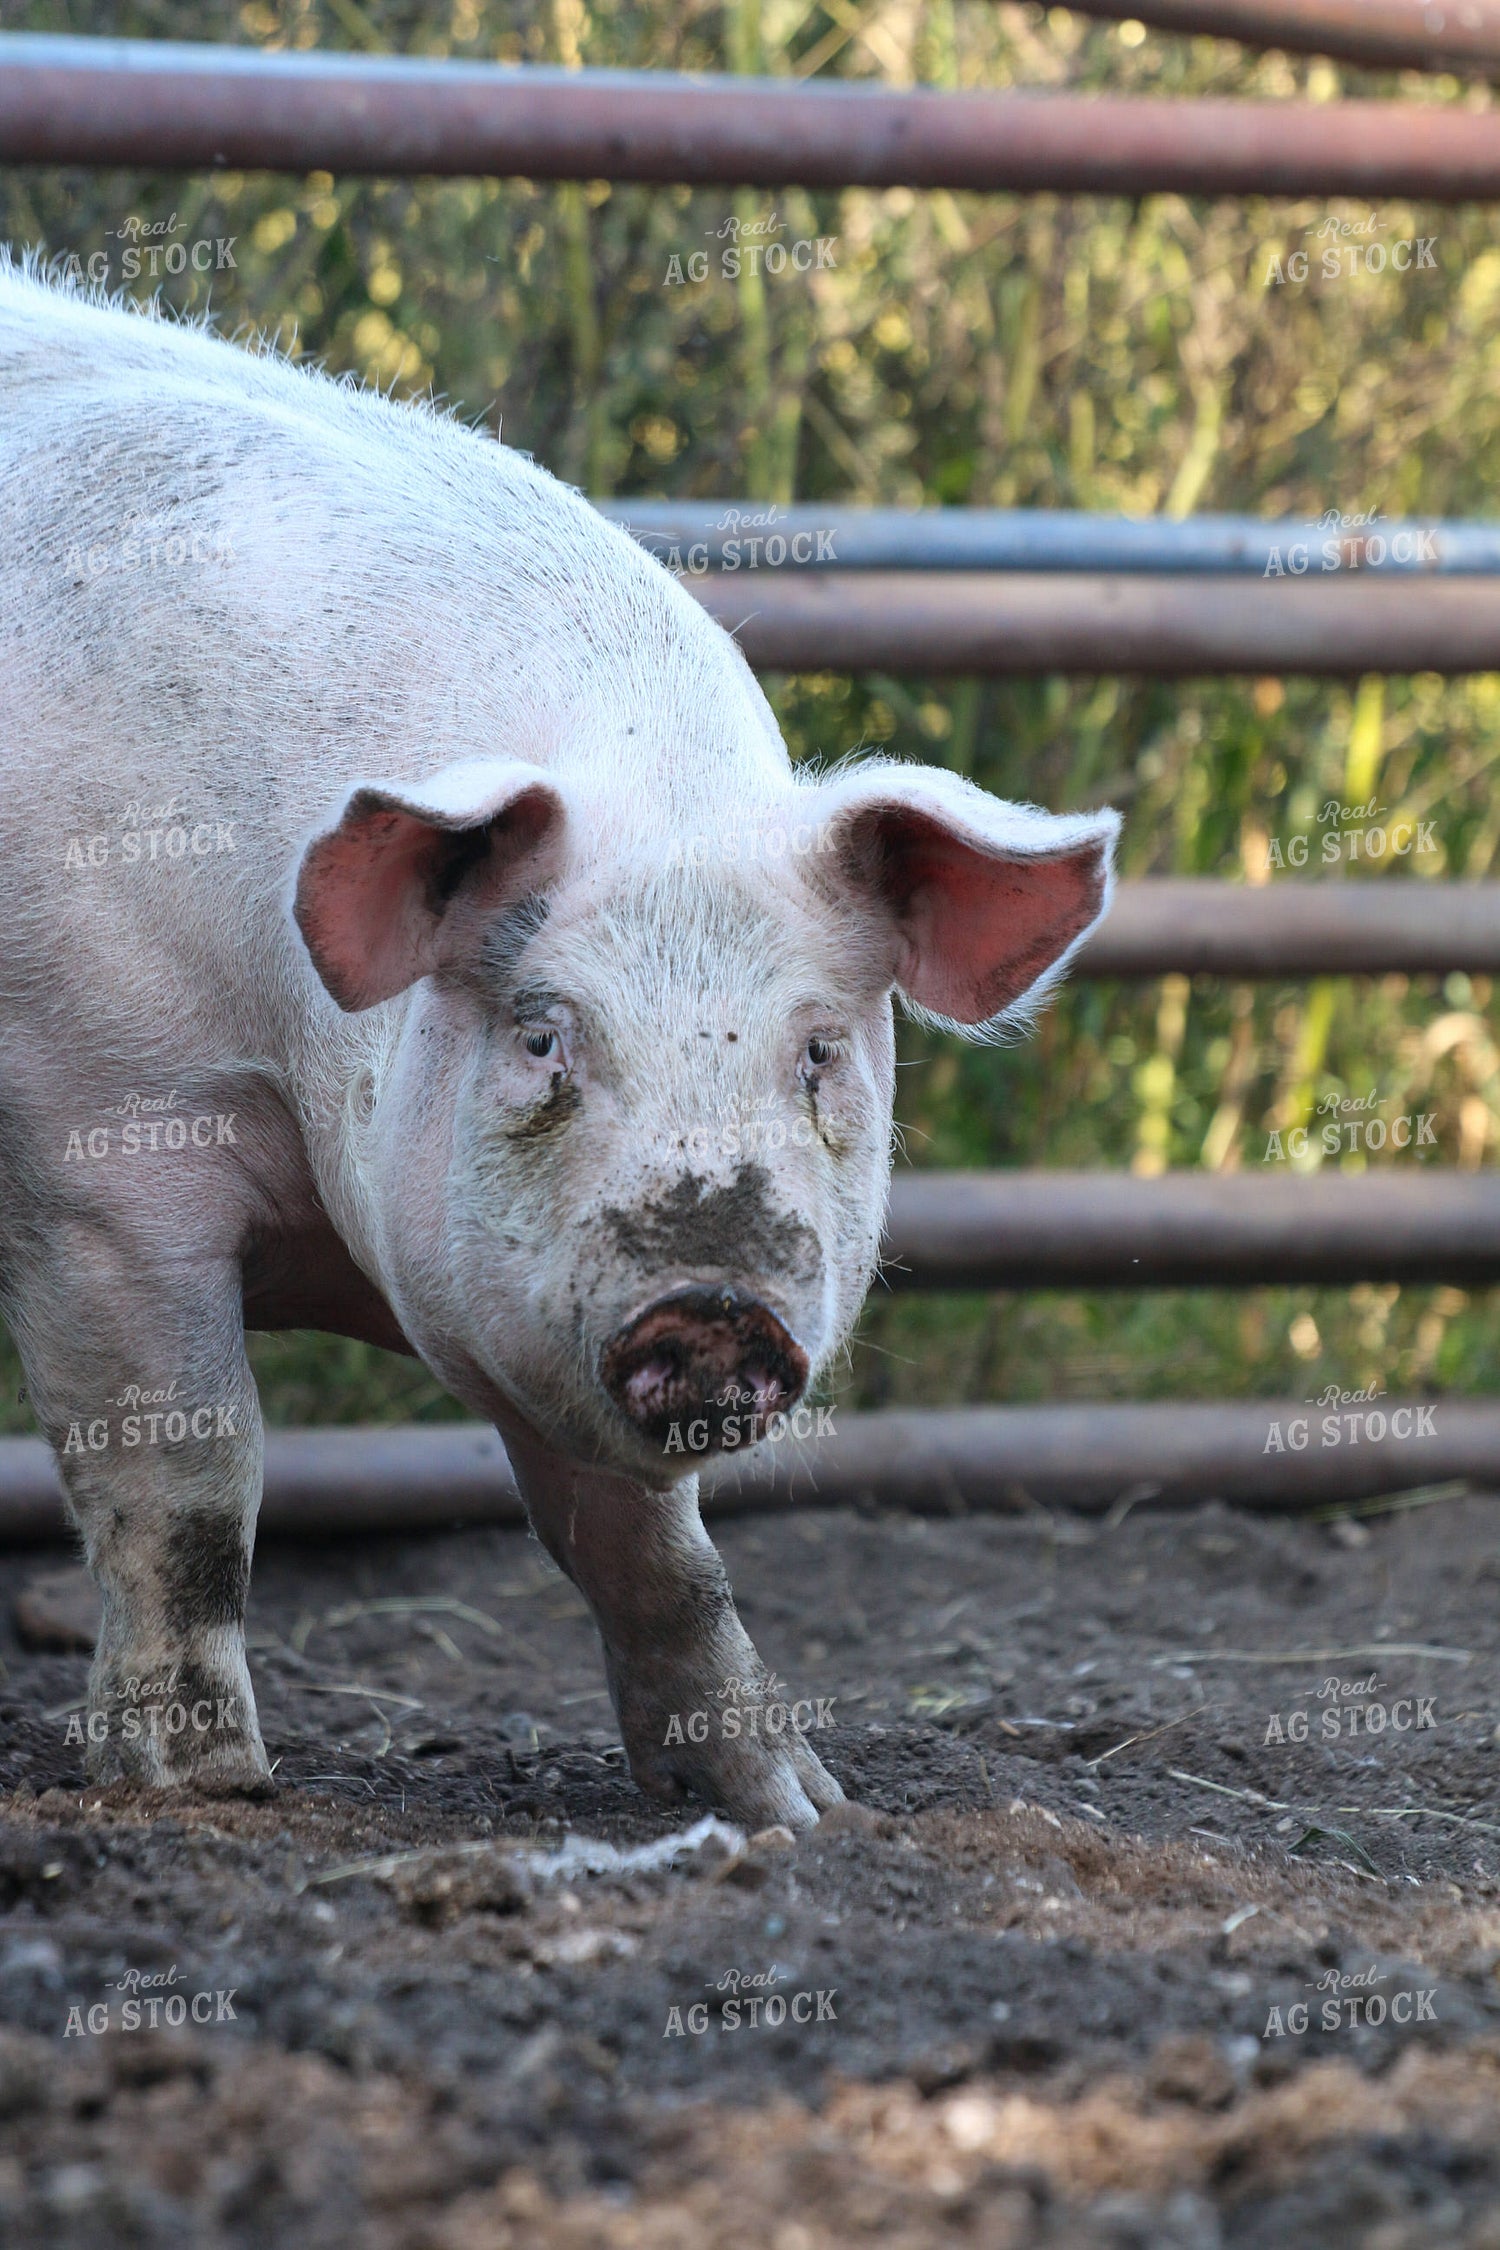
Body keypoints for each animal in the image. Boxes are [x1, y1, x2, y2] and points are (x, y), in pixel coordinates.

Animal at [0, 258, 1117, 1830]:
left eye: (820, 1052)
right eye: (542, 1039)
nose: (712, 1302)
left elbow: (657, 1554)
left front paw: (794, 1807)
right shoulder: (95, 1146)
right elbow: (191, 1473)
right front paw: (203, 1786)